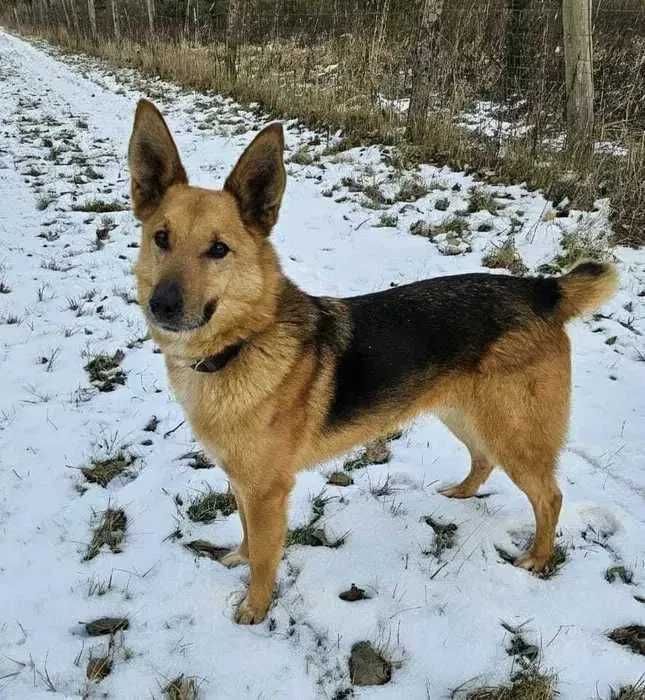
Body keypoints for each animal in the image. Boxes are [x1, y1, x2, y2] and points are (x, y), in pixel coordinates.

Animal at [128, 99, 618, 624]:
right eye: (161, 238)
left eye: (218, 250)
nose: (162, 305)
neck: (241, 343)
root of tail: (541, 289)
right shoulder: (245, 483)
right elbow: (246, 534)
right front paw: (238, 556)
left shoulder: (267, 491)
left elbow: (265, 556)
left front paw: (254, 609)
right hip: (464, 413)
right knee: (483, 459)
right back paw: (461, 494)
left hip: (514, 432)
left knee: (549, 495)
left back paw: (539, 557)